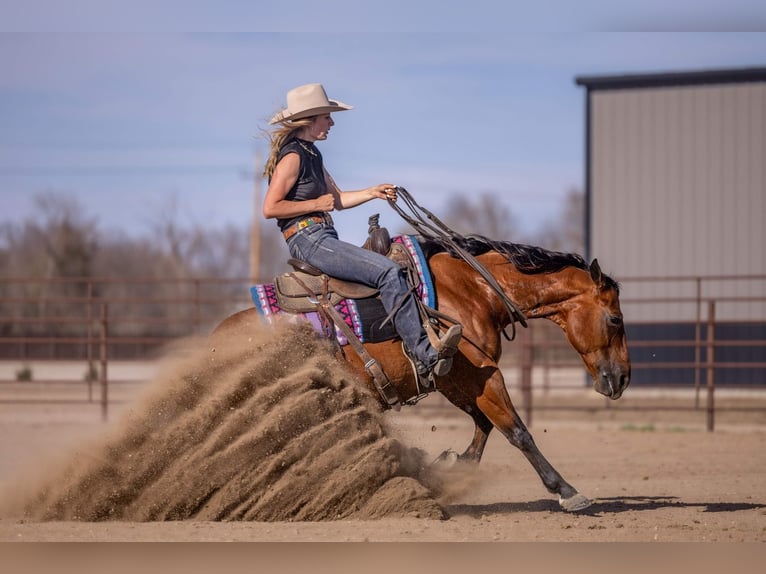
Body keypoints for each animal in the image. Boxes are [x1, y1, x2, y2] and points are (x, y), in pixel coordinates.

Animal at [215, 234, 631, 512]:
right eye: (615, 319)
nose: (623, 379)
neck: (472, 289)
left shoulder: (455, 379)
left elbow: (485, 424)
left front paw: (447, 466)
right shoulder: (478, 374)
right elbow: (516, 430)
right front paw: (566, 491)